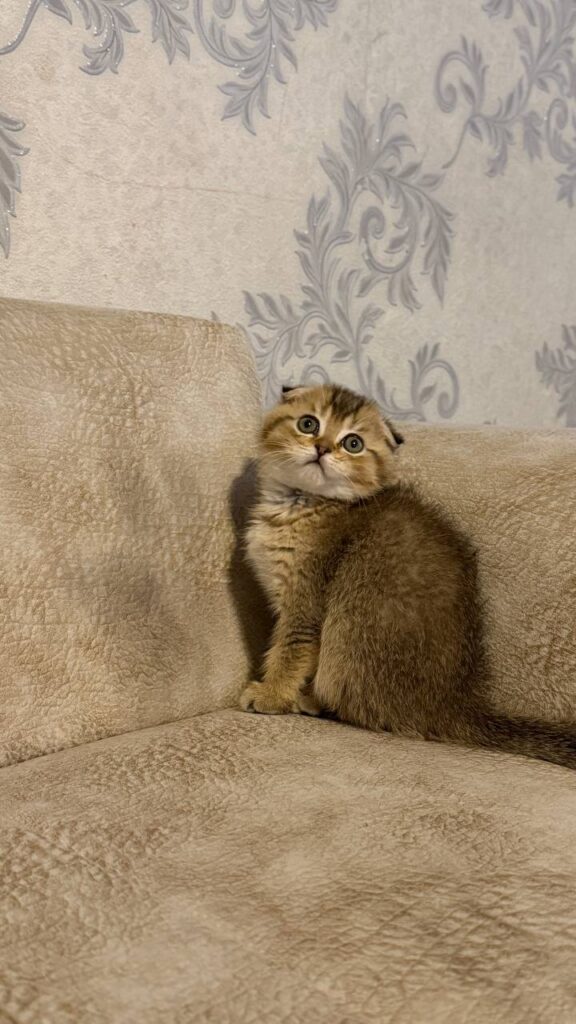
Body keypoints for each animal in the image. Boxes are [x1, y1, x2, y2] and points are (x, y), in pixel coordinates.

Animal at [240, 382, 576, 770]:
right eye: (308, 424)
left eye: (352, 443)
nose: (322, 448)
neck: (301, 504)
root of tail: (455, 703)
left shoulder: (305, 600)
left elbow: (291, 650)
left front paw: (272, 695)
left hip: (347, 625)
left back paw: (310, 701)